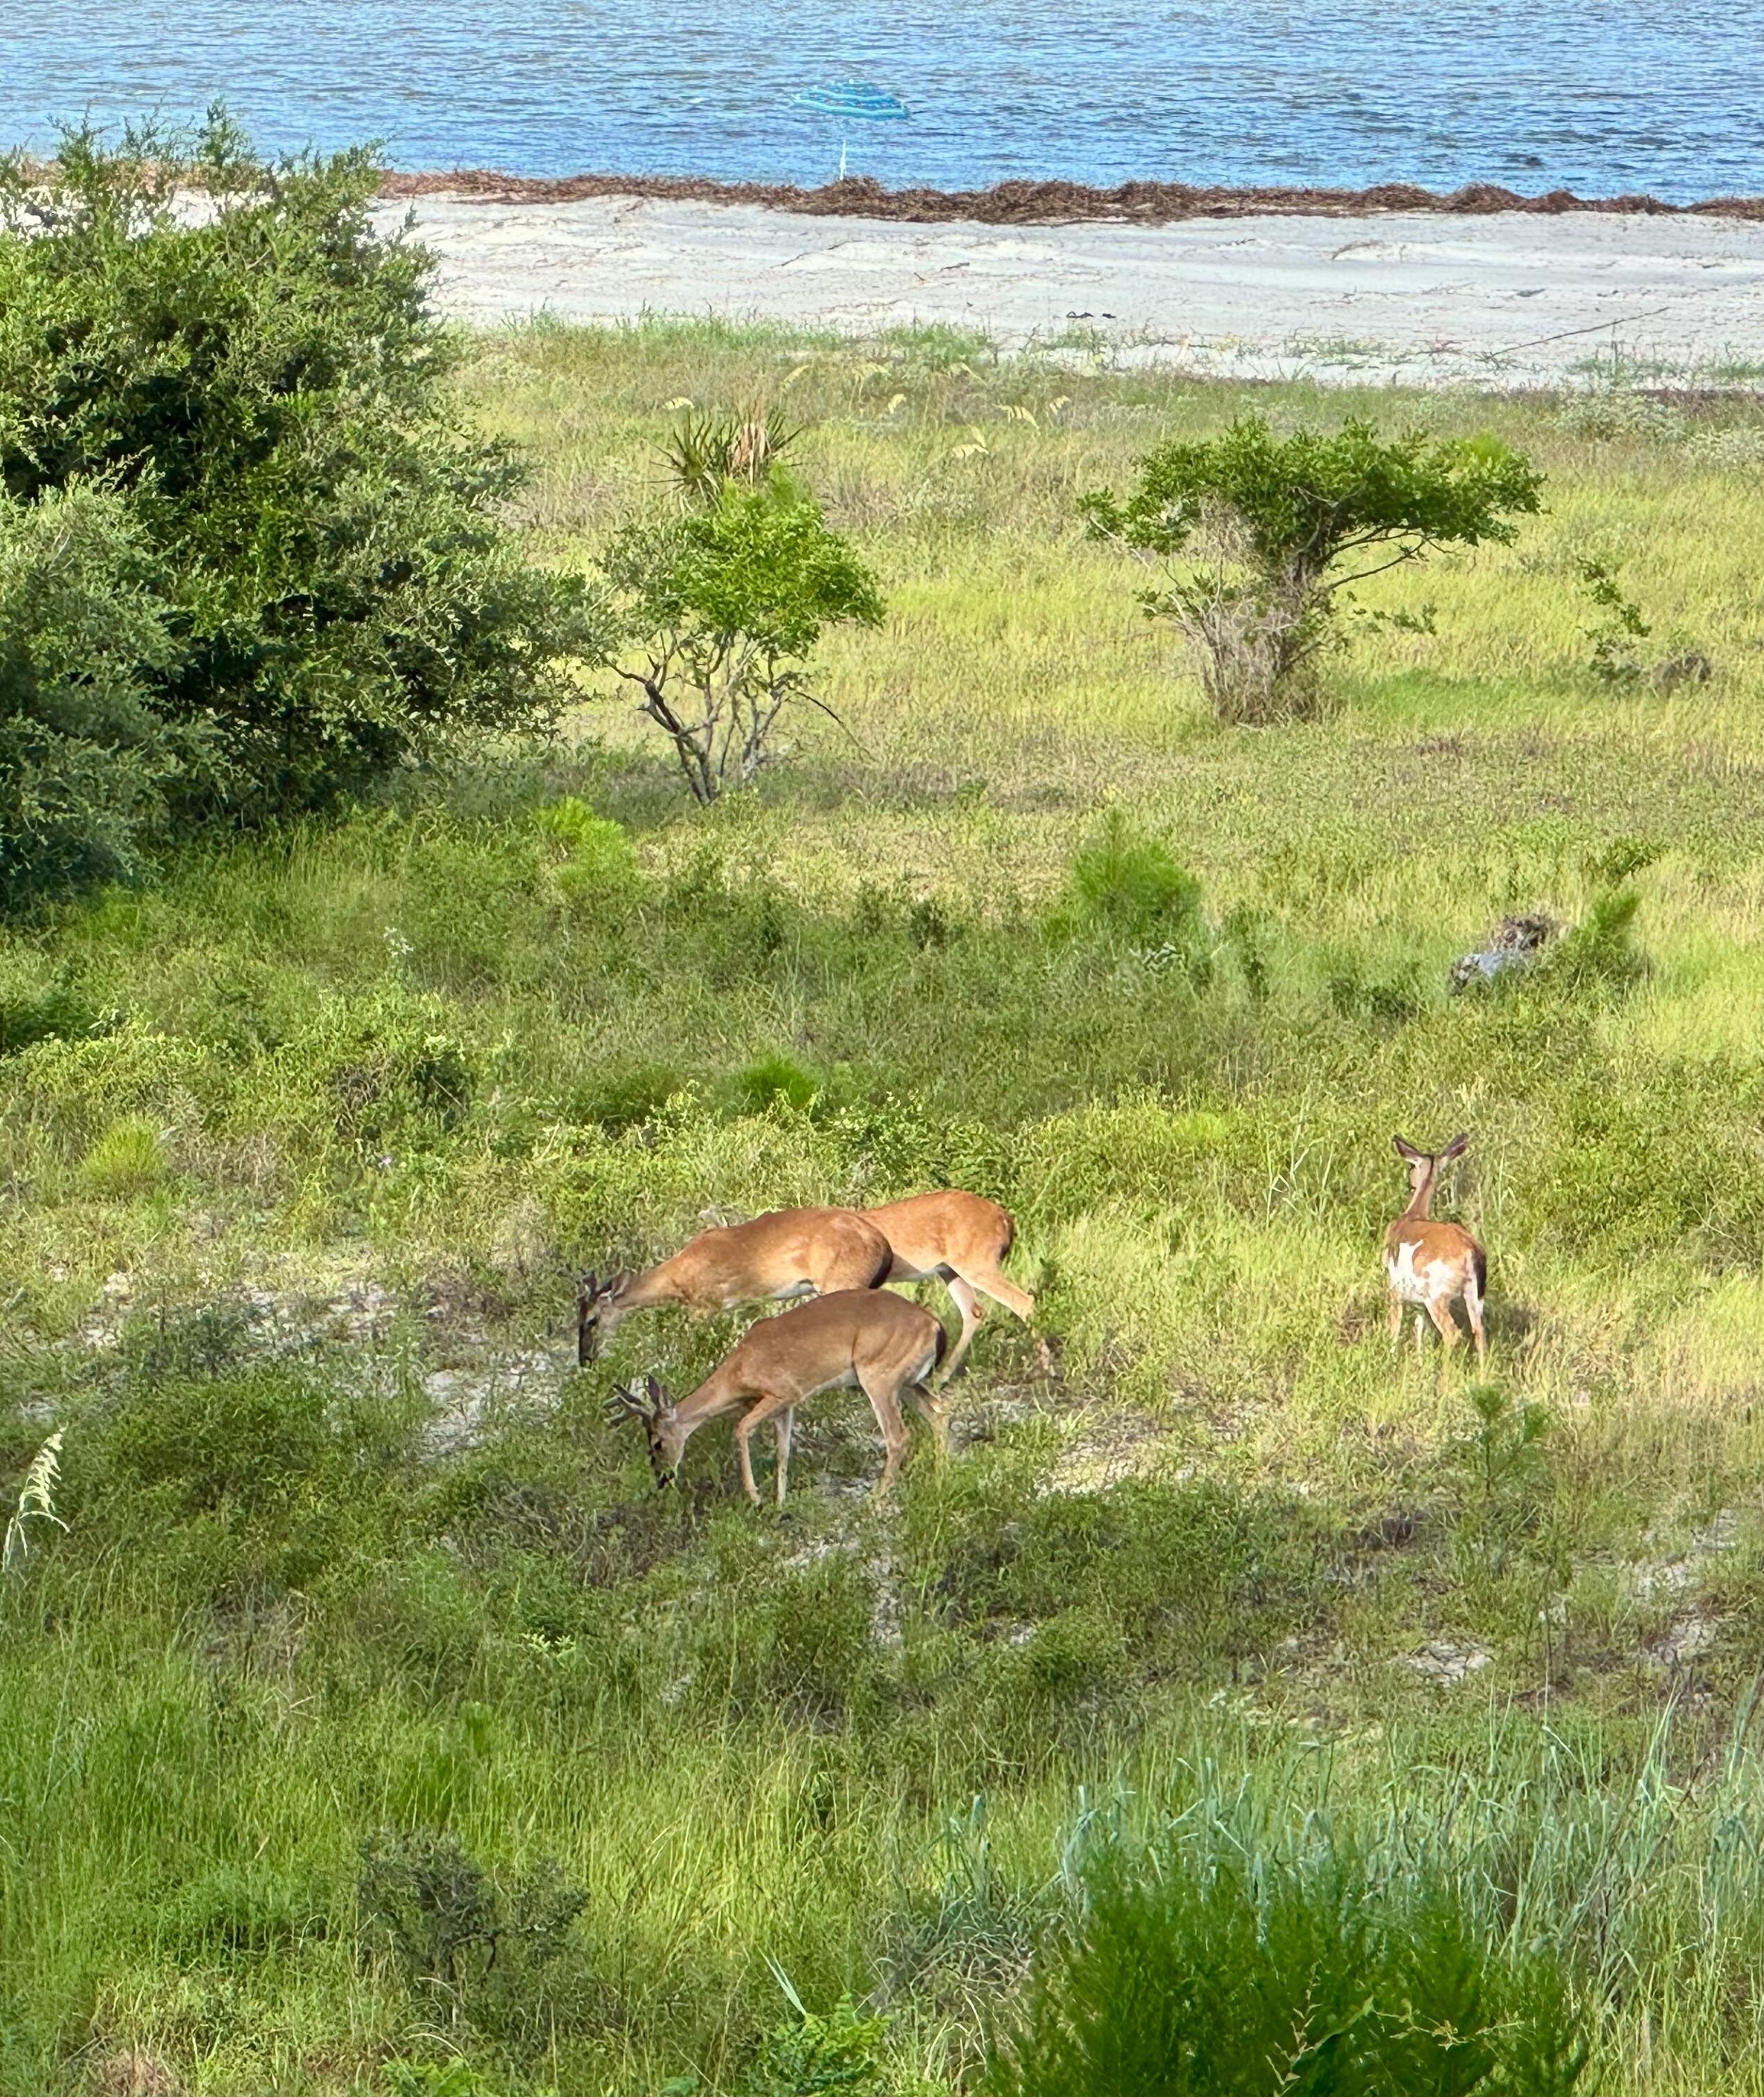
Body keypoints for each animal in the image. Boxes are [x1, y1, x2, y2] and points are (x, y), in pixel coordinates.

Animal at [577, 1206, 893, 1364]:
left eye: (592, 1320)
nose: (585, 1359)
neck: (678, 1277)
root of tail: (882, 1244)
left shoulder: (705, 1307)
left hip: (842, 1281)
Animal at [604, 1288, 949, 1505]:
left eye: (657, 1443)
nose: (662, 1478)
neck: (739, 1371)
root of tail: (935, 1325)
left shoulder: (782, 1391)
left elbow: (742, 1428)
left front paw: (756, 1498)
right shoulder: (787, 1406)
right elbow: (784, 1451)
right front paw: (780, 1504)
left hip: (879, 1376)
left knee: (898, 1435)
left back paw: (876, 1502)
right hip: (907, 1382)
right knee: (939, 1411)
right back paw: (940, 1477)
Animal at [862, 1190, 1034, 1381]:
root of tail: (1004, 1217)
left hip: (977, 1265)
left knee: (1023, 1301)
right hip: (952, 1271)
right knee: (974, 1312)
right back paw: (942, 1377)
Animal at [1385, 1132, 1488, 1370]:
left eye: (1411, 1167)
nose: (1409, 1182)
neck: (1413, 1215)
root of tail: (1471, 1251)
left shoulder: (1393, 1287)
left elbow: (1395, 1326)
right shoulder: (1419, 1302)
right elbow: (1419, 1326)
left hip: (1437, 1297)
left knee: (1452, 1333)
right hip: (1473, 1295)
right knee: (1479, 1333)